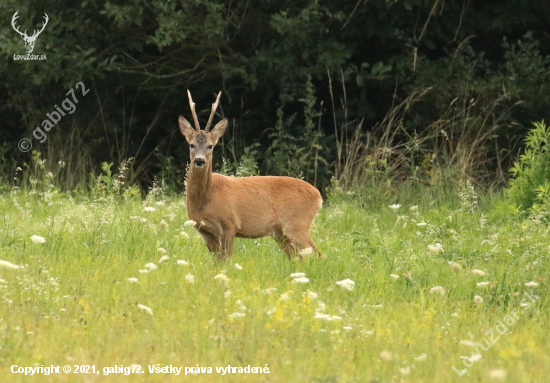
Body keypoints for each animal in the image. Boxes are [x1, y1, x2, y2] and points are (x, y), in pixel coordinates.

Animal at [180, 91, 324, 260]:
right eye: (191, 144)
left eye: (210, 146)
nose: (199, 160)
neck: (209, 193)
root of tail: (319, 196)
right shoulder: (203, 229)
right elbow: (217, 261)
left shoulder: (230, 224)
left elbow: (226, 260)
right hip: (279, 233)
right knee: (297, 257)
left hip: (297, 224)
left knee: (318, 254)